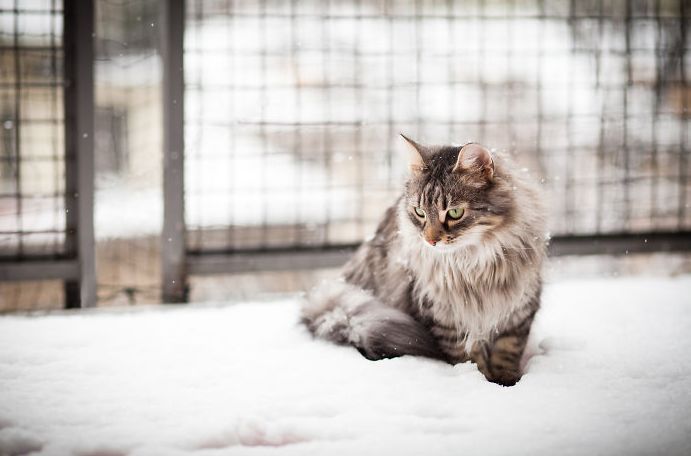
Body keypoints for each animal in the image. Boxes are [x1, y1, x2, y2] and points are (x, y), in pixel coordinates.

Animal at [300, 134, 548, 384]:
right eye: (420, 212)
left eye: (455, 213)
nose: (430, 240)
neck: (473, 263)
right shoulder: (444, 314)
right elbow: (467, 357)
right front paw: (477, 379)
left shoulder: (519, 308)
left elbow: (507, 352)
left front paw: (505, 382)